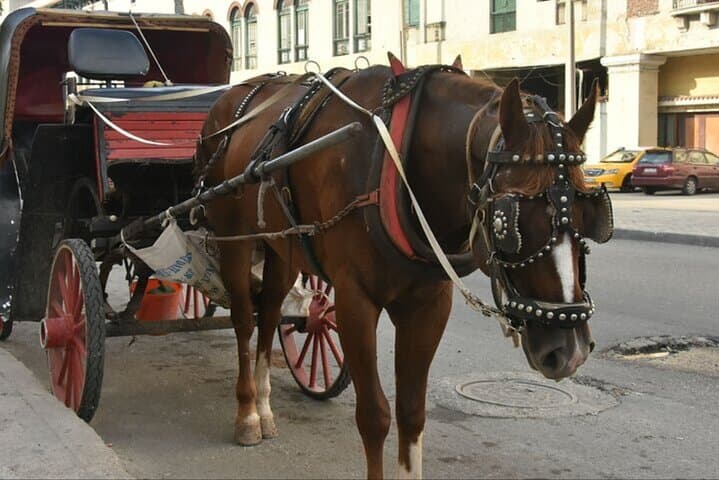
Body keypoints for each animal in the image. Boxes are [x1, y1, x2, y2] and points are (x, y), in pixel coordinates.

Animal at [194, 56, 605, 479]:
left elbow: (412, 413)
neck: (396, 162)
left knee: (270, 312)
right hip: (234, 237)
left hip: (282, 247)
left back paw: (263, 406)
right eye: (510, 221)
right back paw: (247, 413)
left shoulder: (428, 305)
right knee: (245, 321)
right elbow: (374, 416)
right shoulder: (355, 301)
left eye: (590, 209)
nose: (569, 351)